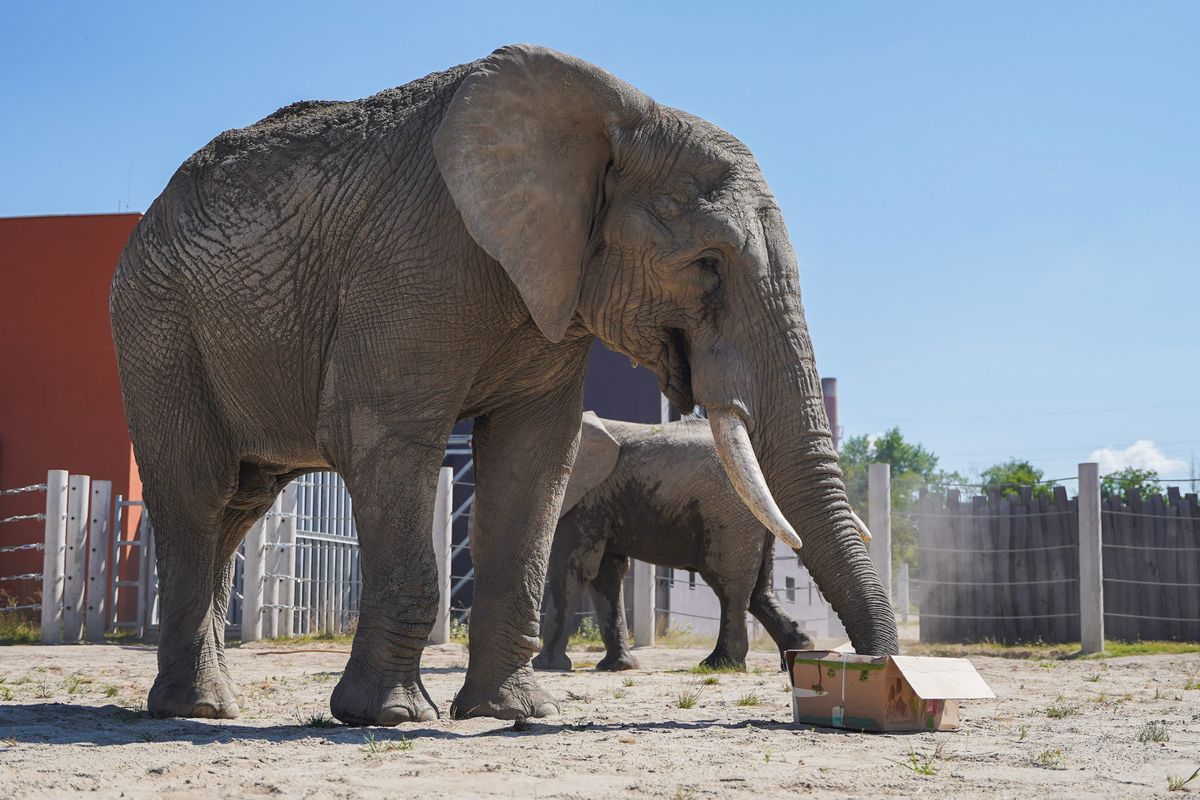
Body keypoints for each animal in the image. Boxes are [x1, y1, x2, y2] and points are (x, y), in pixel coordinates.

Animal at [537, 417, 873, 671]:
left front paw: (548, 666)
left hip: (729, 513)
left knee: (729, 585)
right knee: (758, 590)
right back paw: (797, 651)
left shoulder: (585, 498)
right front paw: (617, 667)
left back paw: (719, 664)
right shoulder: (601, 500)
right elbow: (606, 574)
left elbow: (571, 568)